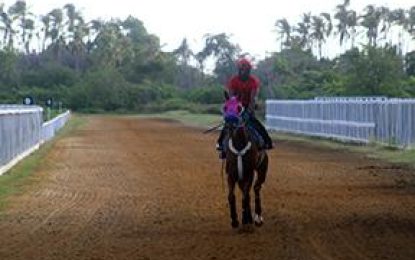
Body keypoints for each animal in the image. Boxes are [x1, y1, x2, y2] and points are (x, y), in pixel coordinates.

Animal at [223, 94, 268, 229]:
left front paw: (245, 219)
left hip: (262, 169)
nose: (230, 122)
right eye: (225, 106)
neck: (239, 144)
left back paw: (257, 217)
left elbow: (245, 195)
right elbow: (231, 196)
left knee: (256, 188)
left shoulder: (249, 173)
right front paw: (234, 220)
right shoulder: (231, 174)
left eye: (239, 107)